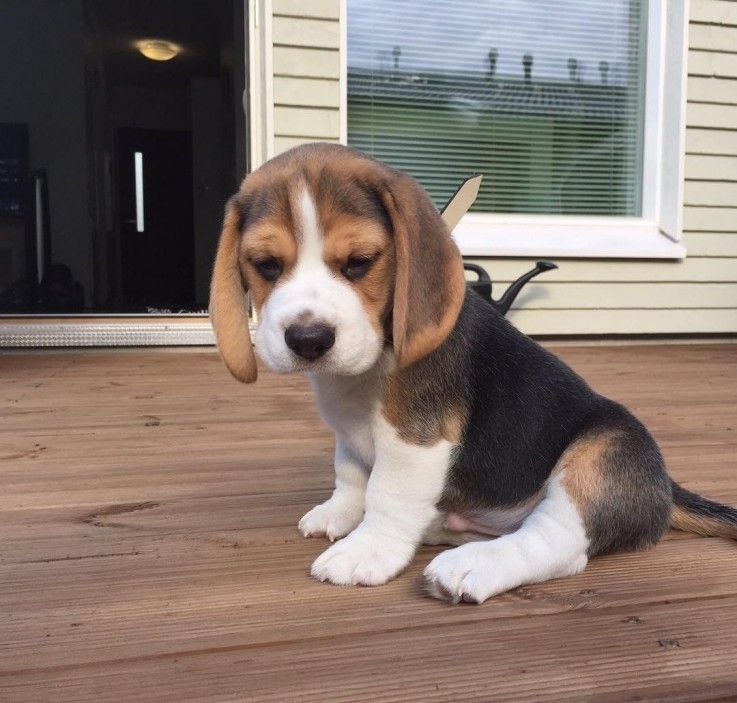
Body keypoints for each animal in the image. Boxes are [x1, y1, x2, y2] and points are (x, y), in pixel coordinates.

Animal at [208, 143, 736, 604]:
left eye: (360, 262)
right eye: (266, 265)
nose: (308, 339)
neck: (372, 361)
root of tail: (667, 487)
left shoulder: (414, 438)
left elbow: (387, 493)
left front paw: (367, 550)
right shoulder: (350, 432)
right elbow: (352, 472)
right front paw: (339, 513)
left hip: (602, 456)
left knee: (559, 545)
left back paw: (471, 566)